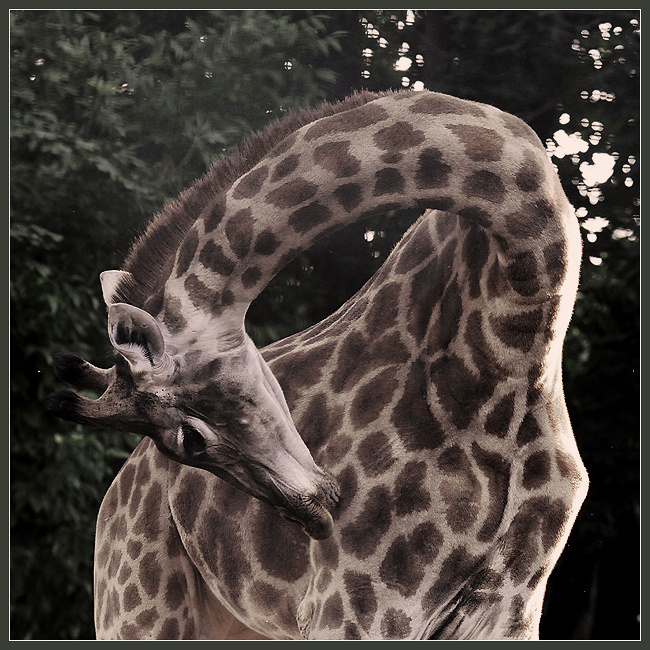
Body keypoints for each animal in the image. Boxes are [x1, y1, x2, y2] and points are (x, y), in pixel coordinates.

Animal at [50, 89, 589, 640]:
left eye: (190, 440)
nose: (316, 513)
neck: (513, 343)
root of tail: (112, 500)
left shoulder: (510, 605)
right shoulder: (358, 600)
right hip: (138, 611)